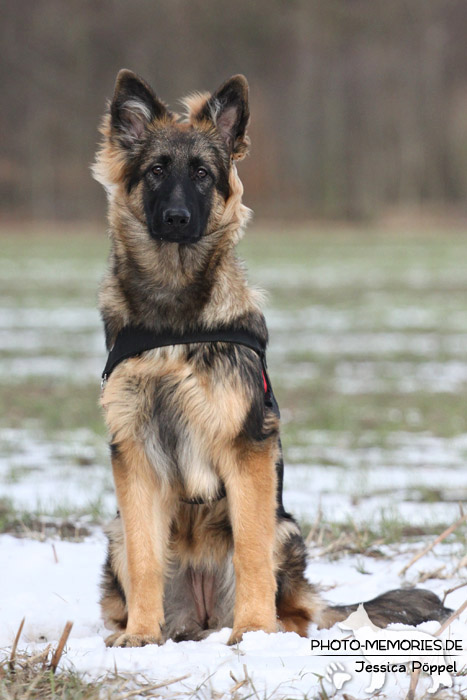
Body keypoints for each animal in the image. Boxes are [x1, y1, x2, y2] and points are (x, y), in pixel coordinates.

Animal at [93, 69, 452, 644]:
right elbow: (148, 557)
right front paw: (141, 637)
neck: (174, 316)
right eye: (156, 171)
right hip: (114, 534)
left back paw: (271, 626)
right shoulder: (135, 456)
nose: (177, 218)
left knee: (293, 604)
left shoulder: (248, 449)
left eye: (202, 174)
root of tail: (201, 617)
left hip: (288, 530)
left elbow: (250, 551)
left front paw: (254, 632)